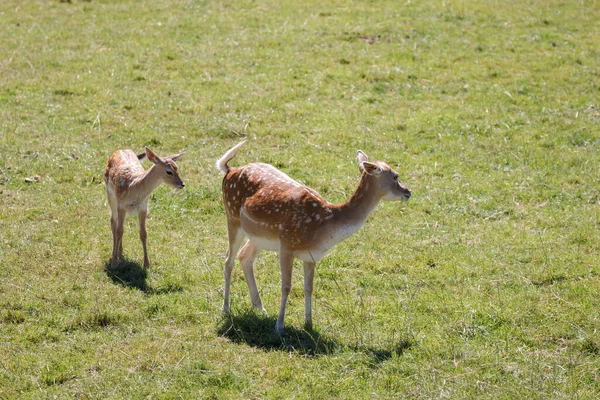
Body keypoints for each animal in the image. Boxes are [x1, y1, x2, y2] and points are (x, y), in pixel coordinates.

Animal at [217, 142, 412, 332]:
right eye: (395, 176)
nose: (408, 192)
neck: (322, 226)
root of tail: (229, 170)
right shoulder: (286, 245)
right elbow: (286, 286)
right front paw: (279, 326)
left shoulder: (311, 256)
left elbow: (308, 288)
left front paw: (309, 323)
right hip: (232, 216)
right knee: (228, 260)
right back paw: (226, 309)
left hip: (258, 235)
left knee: (245, 256)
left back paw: (260, 308)